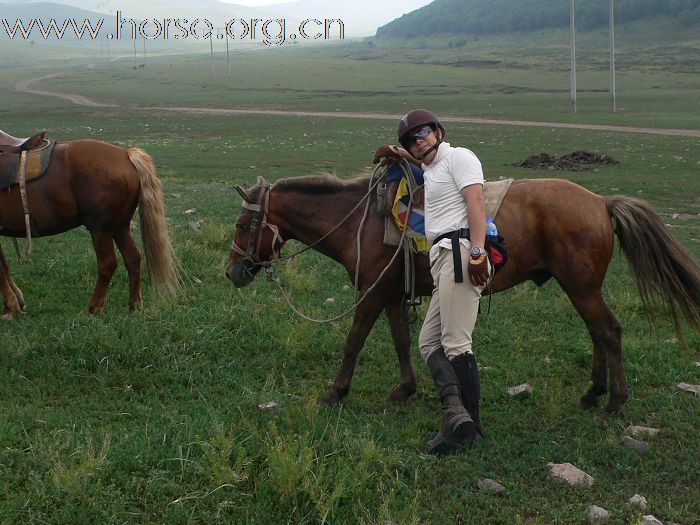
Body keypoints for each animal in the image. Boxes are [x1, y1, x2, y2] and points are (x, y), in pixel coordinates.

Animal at [0, 135, 180, 316]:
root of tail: (126, 154)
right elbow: (5, 266)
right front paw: (17, 302)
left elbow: (0, 268)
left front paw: (11, 307)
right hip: (120, 227)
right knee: (133, 258)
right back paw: (134, 305)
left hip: (101, 229)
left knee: (108, 264)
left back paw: (94, 307)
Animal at [228, 174, 700, 412]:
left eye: (240, 224)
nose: (233, 271)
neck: (357, 220)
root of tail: (601, 202)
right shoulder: (392, 294)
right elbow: (401, 340)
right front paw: (405, 388)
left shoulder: (370, 292)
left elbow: (353, 341)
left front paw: (336, 392)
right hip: (580, 288)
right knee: (598, 333)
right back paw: (593, 393)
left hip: (581, 287)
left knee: (609, 331)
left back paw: (615, 400)